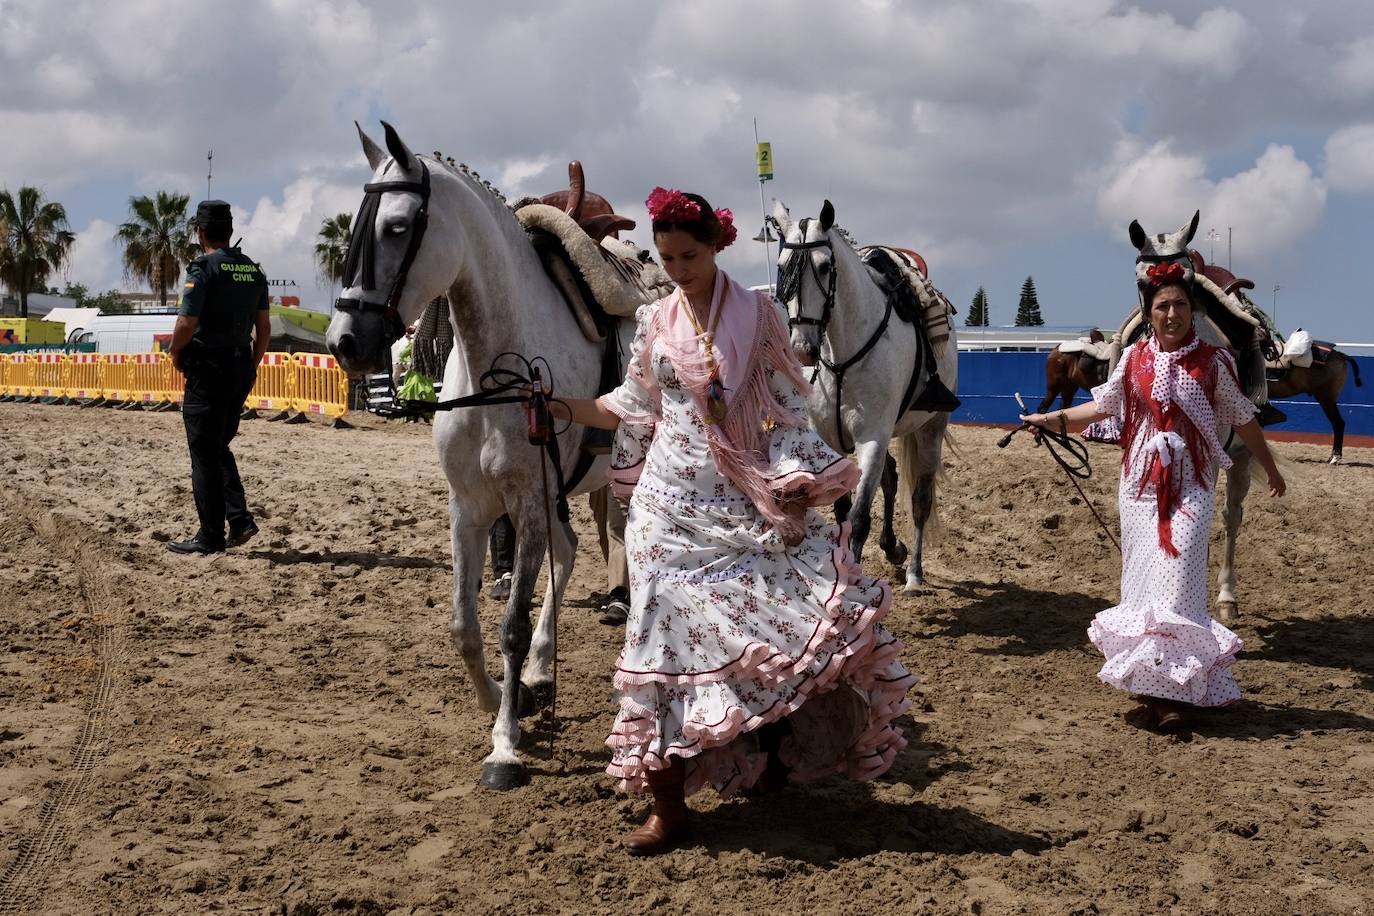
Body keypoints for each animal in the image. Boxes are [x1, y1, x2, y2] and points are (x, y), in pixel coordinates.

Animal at [324, 125, 626, 791]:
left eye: (398, 226)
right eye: (356, 225)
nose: (344, 342)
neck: (502, 371)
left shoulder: (528, 503)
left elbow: (510, 626)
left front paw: (506, 744)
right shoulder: (470, 507)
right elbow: (464, 625)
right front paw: (501, 698)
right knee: (568, 557)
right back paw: (541, 673)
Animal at [774, 199, 956, 596]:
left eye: (825, 267)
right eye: (781, 266)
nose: (802, 349)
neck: (843, 355)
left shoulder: (872, 436)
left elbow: (857, 518)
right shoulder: (831, 439)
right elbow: (843, 511)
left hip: (931, 426)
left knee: (920, 499)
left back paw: (914, 574)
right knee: (891, 478)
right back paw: (892, 549)